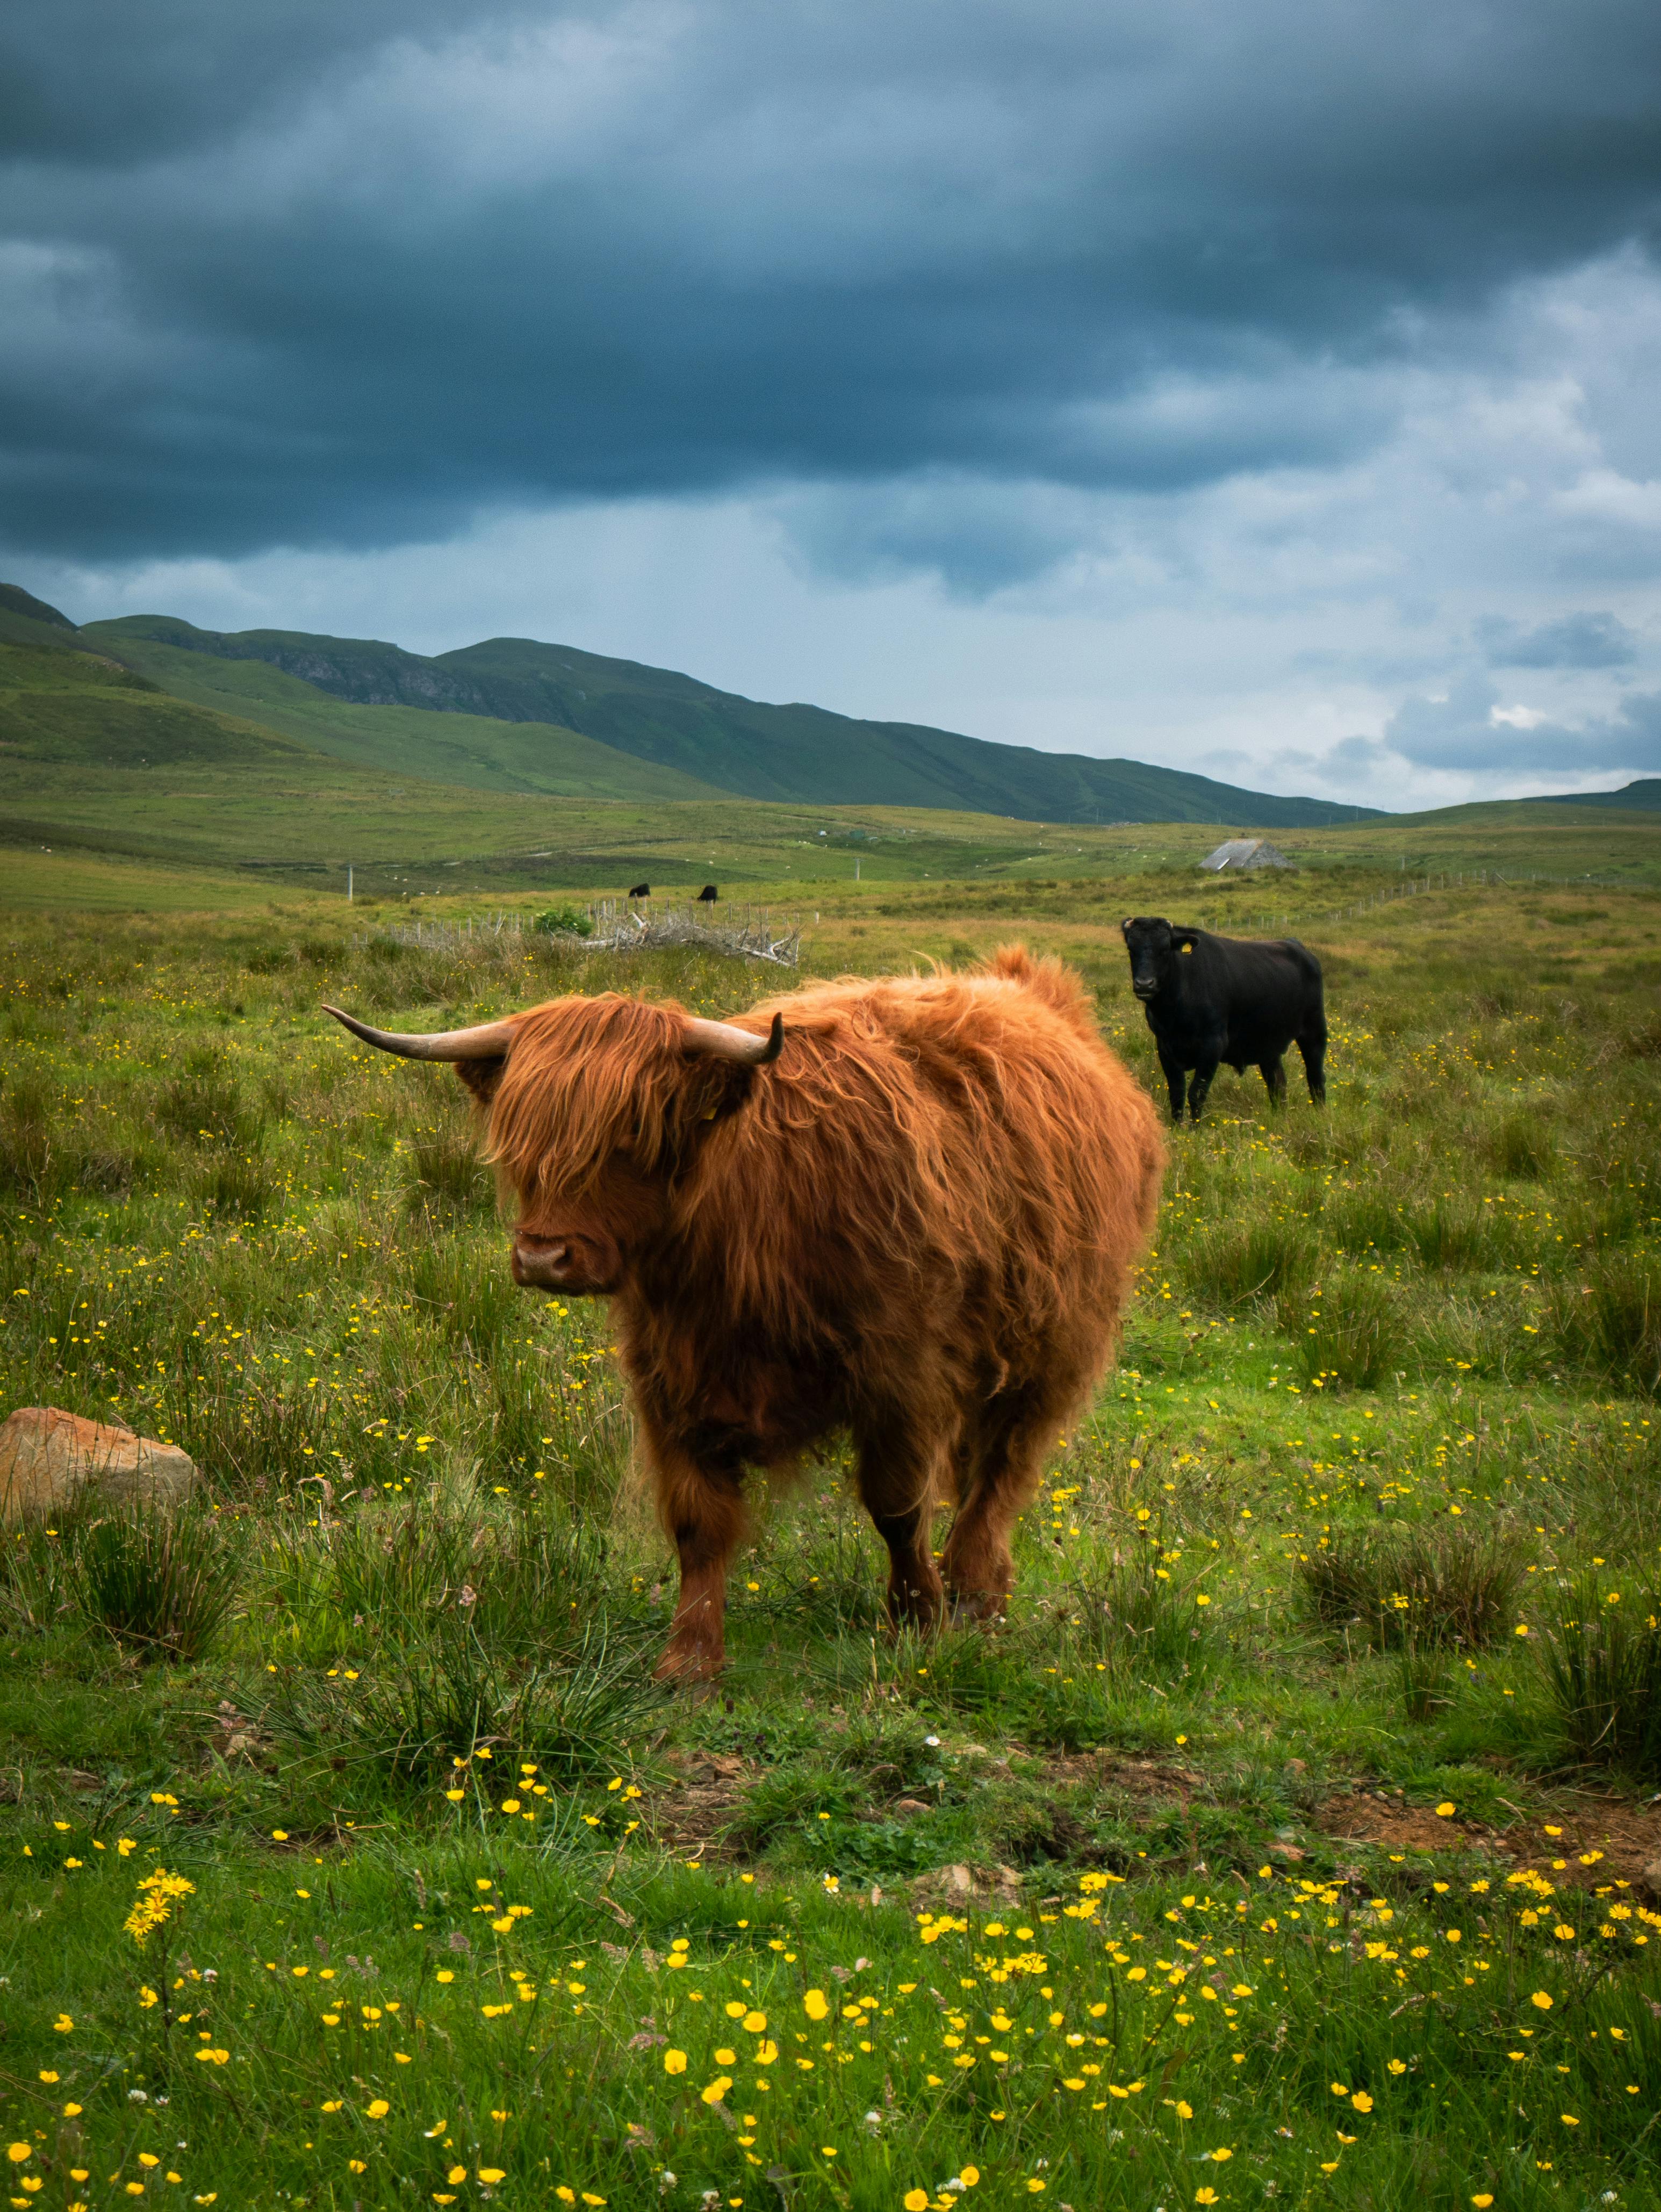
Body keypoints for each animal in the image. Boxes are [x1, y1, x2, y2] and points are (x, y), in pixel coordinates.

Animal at [324, 948, 1164, 1681]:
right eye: (522, 1137)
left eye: (631, 1134)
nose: (541, 1256)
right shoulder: (669, 1375)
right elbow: (698, 1524)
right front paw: (689, 1660)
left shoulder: (904, 1373)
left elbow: (896, 1505)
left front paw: (915, 1617)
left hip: (1051, 1346)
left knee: (1000, 1470)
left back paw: (976, 1589)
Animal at [1120, 916, 1326, 1123]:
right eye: (1131, 949)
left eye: (1165, 949)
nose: (1145, 984)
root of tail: (1296, 945)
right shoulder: (1165, 1046)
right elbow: (1177, 1094)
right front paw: (1177, 1127)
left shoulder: (1213, 1044)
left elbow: (1197, 1093)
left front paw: (1195, 1128)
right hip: (1268, 1042)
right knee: (1277, 1082)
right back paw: (1279, 1116)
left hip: (1314, 1029)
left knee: (1315, 1075)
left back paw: (1320, 1113)